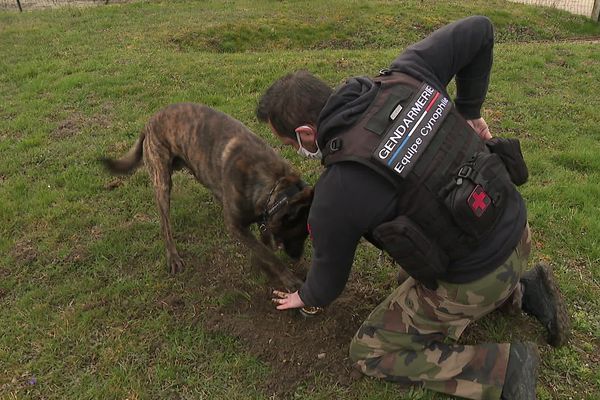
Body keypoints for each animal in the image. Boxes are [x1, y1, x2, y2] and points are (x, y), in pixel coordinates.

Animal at [101, 103, 312, 290]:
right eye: (298, 233)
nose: (296, 257)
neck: (273, 183)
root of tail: (149, 123)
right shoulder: (236, 226)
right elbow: (267, 254)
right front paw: (289, 279)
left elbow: (264, 248)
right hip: (162, 182)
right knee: (165, 225)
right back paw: (173, 257)